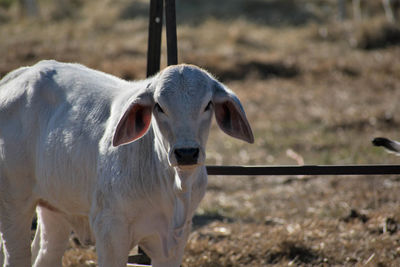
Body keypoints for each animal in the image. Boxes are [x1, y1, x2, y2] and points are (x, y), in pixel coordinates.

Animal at [0, 60, 253, 267]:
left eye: (208, 104)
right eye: (159, 106)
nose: (187, 152)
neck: (172, 186)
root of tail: (20, 75)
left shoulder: (174, 241)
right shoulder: (110, 232)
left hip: (55, 208)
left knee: (46, 255)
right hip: (13, 204)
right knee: (16, 257)